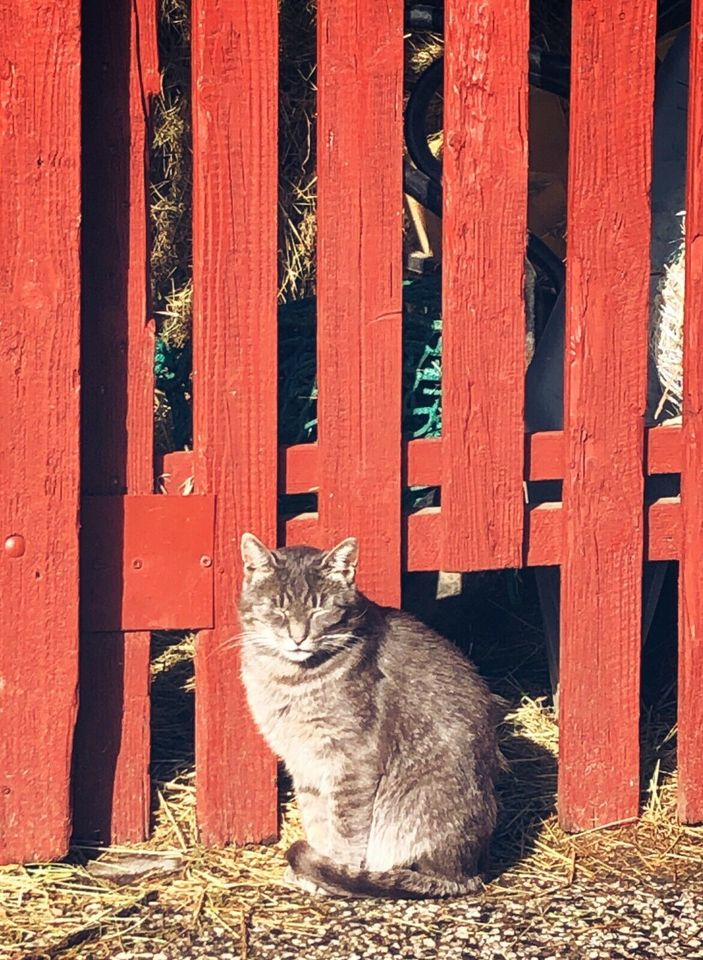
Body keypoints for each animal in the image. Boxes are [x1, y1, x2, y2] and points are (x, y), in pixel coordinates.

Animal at [239, 532, 504, 900]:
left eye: (319, 607)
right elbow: (317, 820)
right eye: (277, 606)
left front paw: (328, 872)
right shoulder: (304, 764)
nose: (298, 636)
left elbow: (345, 831)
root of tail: (468, 873)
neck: (289, 680)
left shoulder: (352, 763)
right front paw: (313, 869)